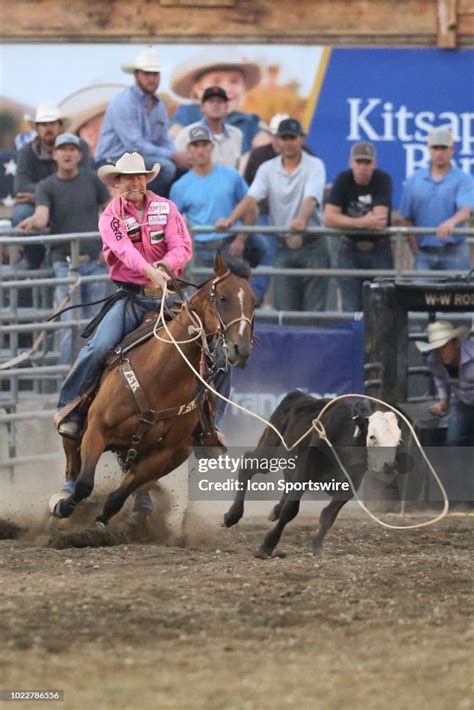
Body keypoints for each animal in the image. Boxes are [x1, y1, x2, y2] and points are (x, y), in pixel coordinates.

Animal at [49, 254, 256, 528]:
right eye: (222, 297)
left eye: (253, 303)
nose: (240, 349)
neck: (160, 379)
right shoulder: (96, 430)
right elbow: (84, 484)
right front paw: (65, 507)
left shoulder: (162, 454)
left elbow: (117, 497)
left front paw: (103, 520)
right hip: (77, 424)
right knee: (72, 460)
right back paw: (62, 495)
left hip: (172, 454)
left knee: (138, 483)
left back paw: (142, 506)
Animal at [224, 392, 402, 560]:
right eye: (372, 436)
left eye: (398, 440)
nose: (389, 466)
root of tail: (298, 395)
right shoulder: (304, 472)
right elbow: (290, 510)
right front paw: (267, 545)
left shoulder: (350, 485)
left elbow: (329, 514)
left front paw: (316, 545)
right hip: (269, 452)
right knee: (248, 464)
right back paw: (232, 516)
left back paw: (275, 510)